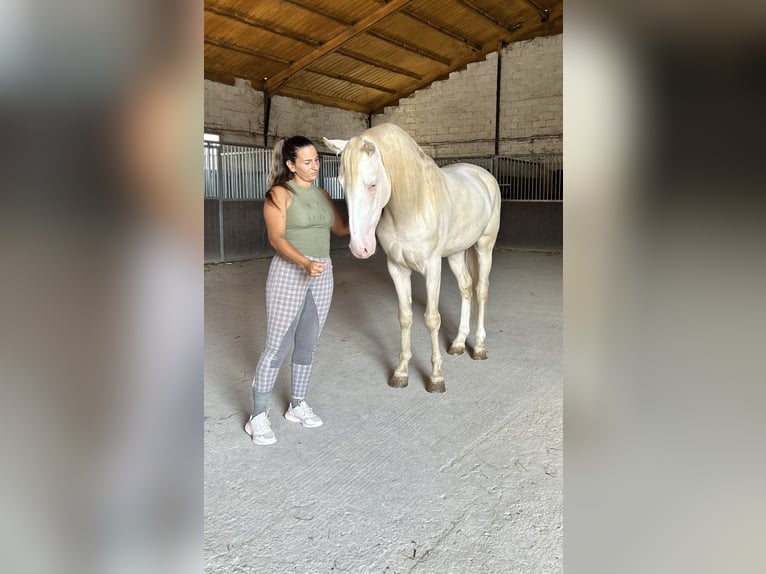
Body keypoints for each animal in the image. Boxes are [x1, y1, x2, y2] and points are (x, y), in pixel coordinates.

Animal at [324, 125, 504, 396]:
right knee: (465, 288)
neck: (413, 208)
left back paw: (480, 347)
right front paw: (401, 372)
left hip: (484, 246)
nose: (360, 248)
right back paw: (459, 343)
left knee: (481, 290)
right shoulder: (397, 269)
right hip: (456, 253)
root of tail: (483, 175)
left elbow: (432, 319)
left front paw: (436, 378)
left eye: (372, 184)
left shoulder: (432, 268)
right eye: (342, 185)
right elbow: (405, 317)